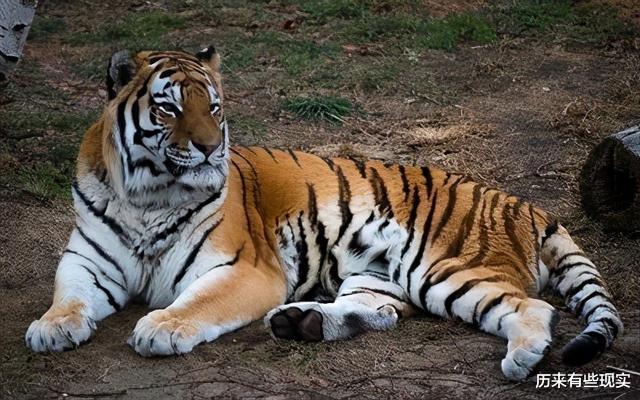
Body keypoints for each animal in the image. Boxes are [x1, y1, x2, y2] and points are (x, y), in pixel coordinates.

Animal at [25, 47, 623, 381]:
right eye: (169, 107)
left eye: (213, 107)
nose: (210, 149)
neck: (147, 195)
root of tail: (525, 202)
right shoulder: (88, 261)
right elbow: (68, 294)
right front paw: (50, 330)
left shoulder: (245, 269)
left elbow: (196, 303)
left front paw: (162, 328)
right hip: (377, 275)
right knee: (381, 313)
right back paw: (302, 321)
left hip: (442, 269)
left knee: (532, 309)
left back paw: (523, 359)